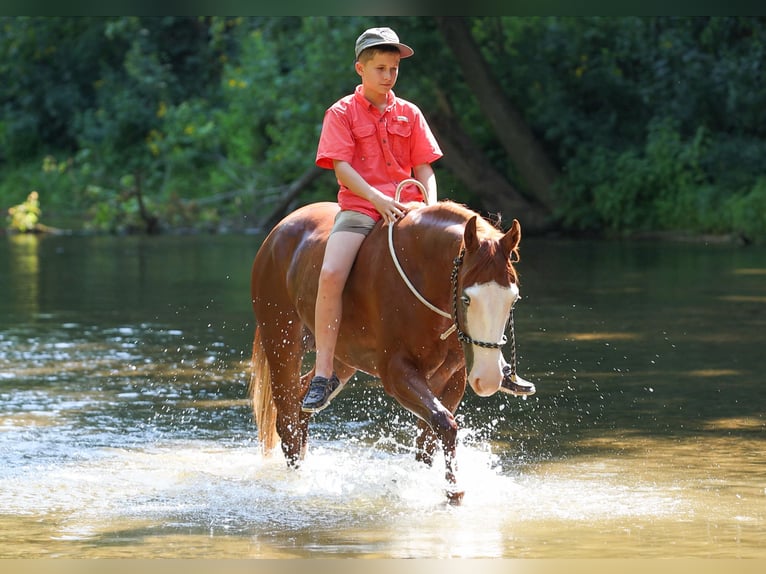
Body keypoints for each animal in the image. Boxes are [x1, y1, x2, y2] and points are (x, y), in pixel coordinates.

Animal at [248, 193, 533, 503]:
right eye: (467, 299)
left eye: (513, 298)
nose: (488, 378)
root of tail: (278, 233)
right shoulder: (397, 373)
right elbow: (445, 424)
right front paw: (454, 490)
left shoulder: (453, 378)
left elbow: (428, 440)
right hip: (282, 344)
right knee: (287, 416)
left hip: (342, 361)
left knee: (302, 405)